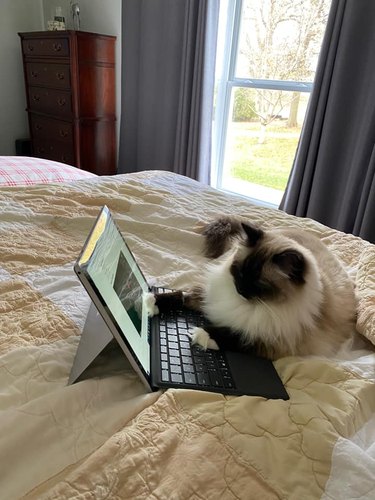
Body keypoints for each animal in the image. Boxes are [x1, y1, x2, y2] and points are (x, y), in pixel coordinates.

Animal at [144, 215, 358, 360]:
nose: (240, 290)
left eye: (258, 284)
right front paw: (151, 301)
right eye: (239, 273)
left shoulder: (275, 341)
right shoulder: (209, 297)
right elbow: (181, 295)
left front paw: (201, 334)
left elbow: (239, 336)